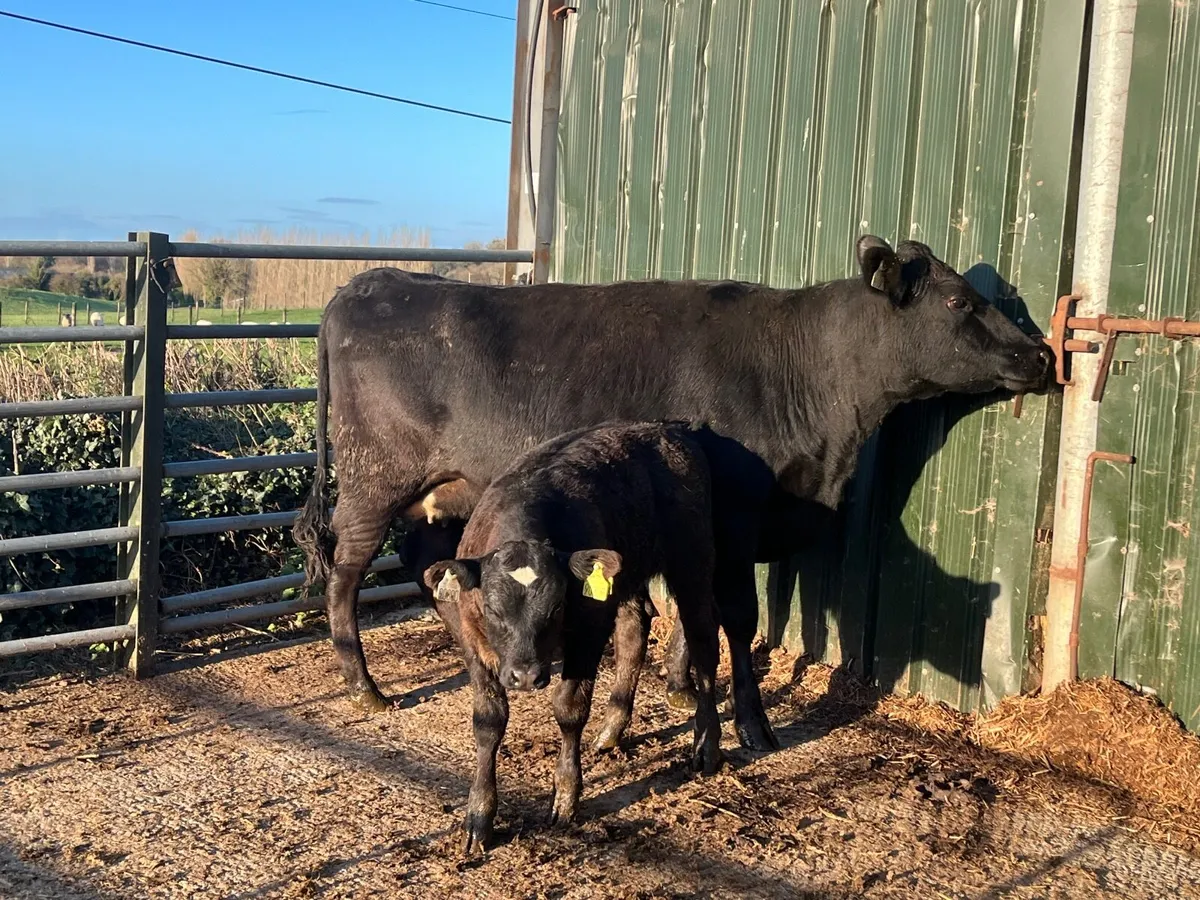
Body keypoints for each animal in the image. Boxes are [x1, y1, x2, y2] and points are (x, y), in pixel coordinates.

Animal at [294, 235, 1051, 754]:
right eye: (960, 301)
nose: (1043, 354)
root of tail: (370, 280)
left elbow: (705, 612)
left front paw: (680, 680)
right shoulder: (737, 519)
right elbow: (737, 617)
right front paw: (749, 722)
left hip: (440, 494)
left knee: (424, 563)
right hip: (372, 481)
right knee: (346, 577)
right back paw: (365, 688)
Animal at [423, 421, 734, 853]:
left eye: (556, 607)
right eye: (493, 609)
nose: (525, 675)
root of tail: (668, 427)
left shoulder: (588, 632)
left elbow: (569, 710)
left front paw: (566, 797)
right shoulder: (471, 641)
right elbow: (488, 720)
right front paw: (479, 815)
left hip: (693, 562)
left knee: (704, 641)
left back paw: (706, 746)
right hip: (627, 576)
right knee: (633, 636)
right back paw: (610, 732)